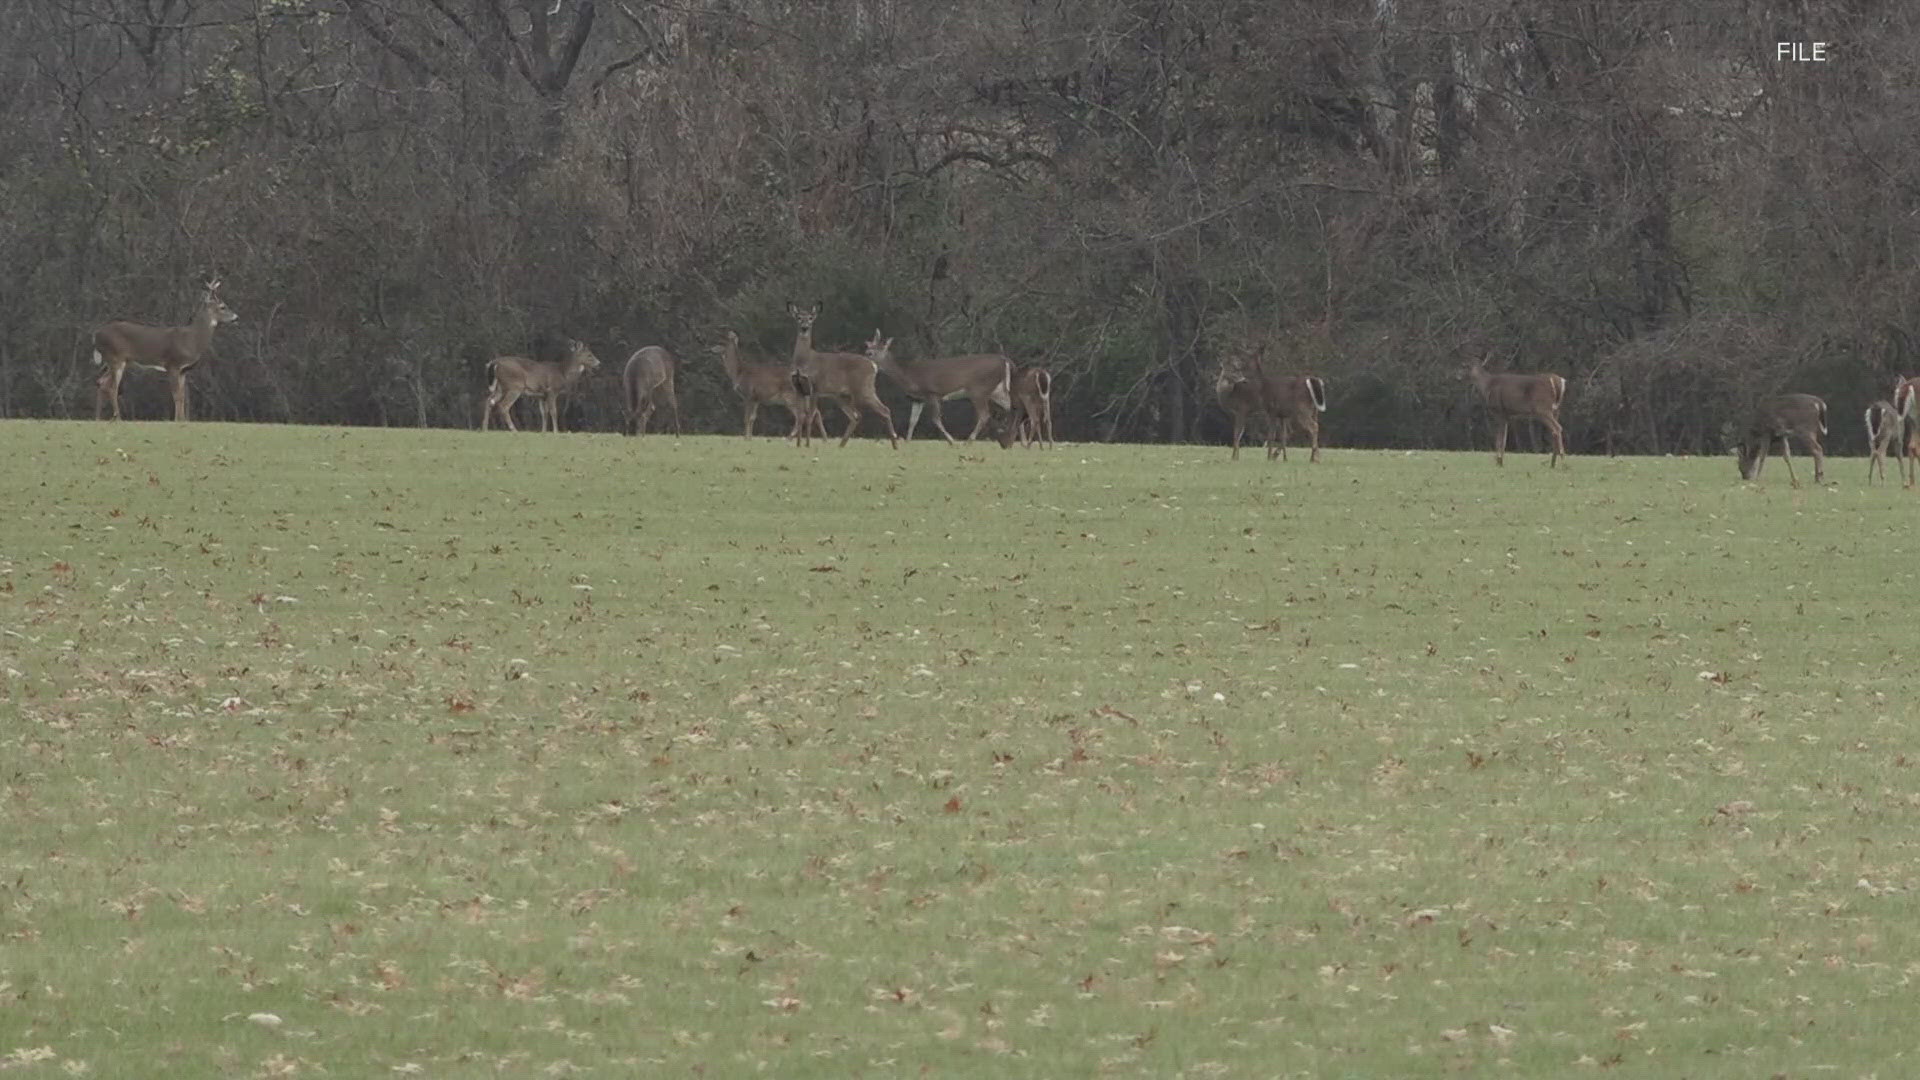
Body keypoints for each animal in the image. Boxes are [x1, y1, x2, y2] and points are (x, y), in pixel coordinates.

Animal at [93, 276, 238, 420]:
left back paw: (98, 418)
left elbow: (182, 396)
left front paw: (183, 419)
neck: (192, 339)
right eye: (222, 307)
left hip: (119, 361)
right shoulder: (172, 364)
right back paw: (118, 418)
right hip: (116, 357)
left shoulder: (183, 370)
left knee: (101, 381)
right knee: (112, 387)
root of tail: (96, 335)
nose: (236, 317)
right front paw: (177, 420)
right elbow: (176, 395)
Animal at [783, 297, 894, 445]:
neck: (804, 361)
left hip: (864, 389)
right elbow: (801, 417)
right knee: (856, 416)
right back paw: (841, 445)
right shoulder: (798, 387)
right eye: (799, 317)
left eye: (811, 318)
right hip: (842, 396)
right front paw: (798, 445)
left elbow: (810, 416)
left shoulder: (815, 386)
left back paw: (895, 444)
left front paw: (807, 445)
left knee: (885, 410)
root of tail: (873, 365)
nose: (804, 327)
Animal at [864, 330, 1013, 443]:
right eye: (867, 350)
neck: (909, 375)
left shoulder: (932, 393)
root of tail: (1003, 360)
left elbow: (936, 419)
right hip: (996, 390)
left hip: (979, 389)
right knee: (1010, 407)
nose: (864, 360)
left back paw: (969, 440)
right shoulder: (918, 399)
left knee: (984, 414)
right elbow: (913, 420)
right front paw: (907, 441)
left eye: (870, 353)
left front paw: (951, 441)